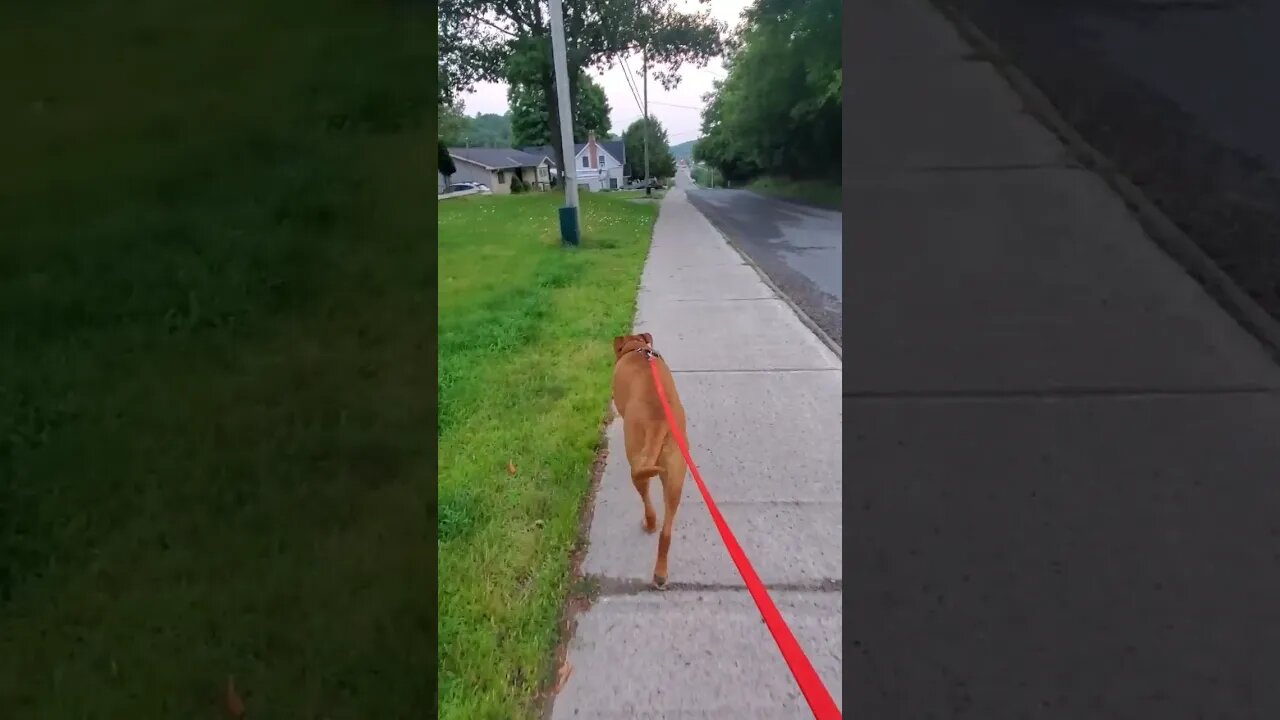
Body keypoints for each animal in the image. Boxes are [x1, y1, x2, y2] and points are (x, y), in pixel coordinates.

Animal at [611, 333, 691, 586]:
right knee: (666, 531)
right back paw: (660, 573)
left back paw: (648, 524)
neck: (636, 348)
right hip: (675, 476)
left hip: (638, 468)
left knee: (649, 506)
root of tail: (659, 422)